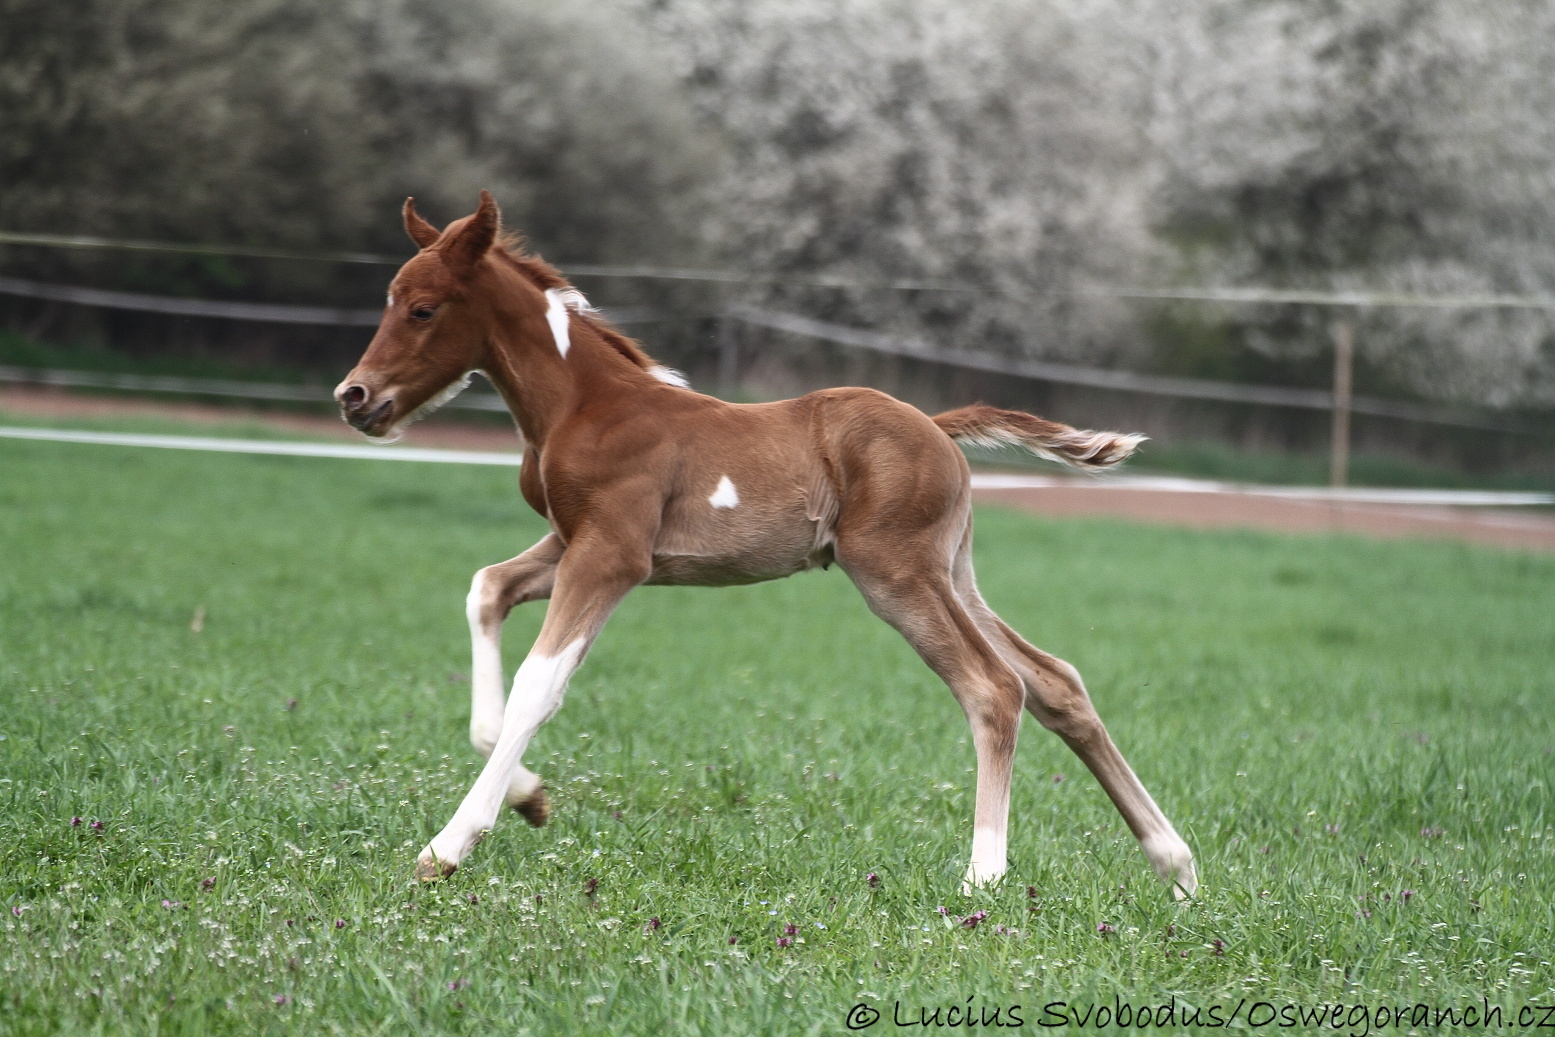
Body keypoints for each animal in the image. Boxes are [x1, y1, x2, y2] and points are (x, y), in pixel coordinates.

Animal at [334, 192, 1194, 901]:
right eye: (392, 301)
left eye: (421, 308)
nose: (354, 396)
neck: (587, 402)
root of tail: (935, 424)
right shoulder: (571, 542)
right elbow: (485, 589)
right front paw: (530, 795)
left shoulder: (611, 555)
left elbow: (538, 685)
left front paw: (449, 845)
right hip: (952, 571)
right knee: (1055, 681)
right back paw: (1175, 865)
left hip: (895, 574)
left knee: (994, 687)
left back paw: (983, 875)